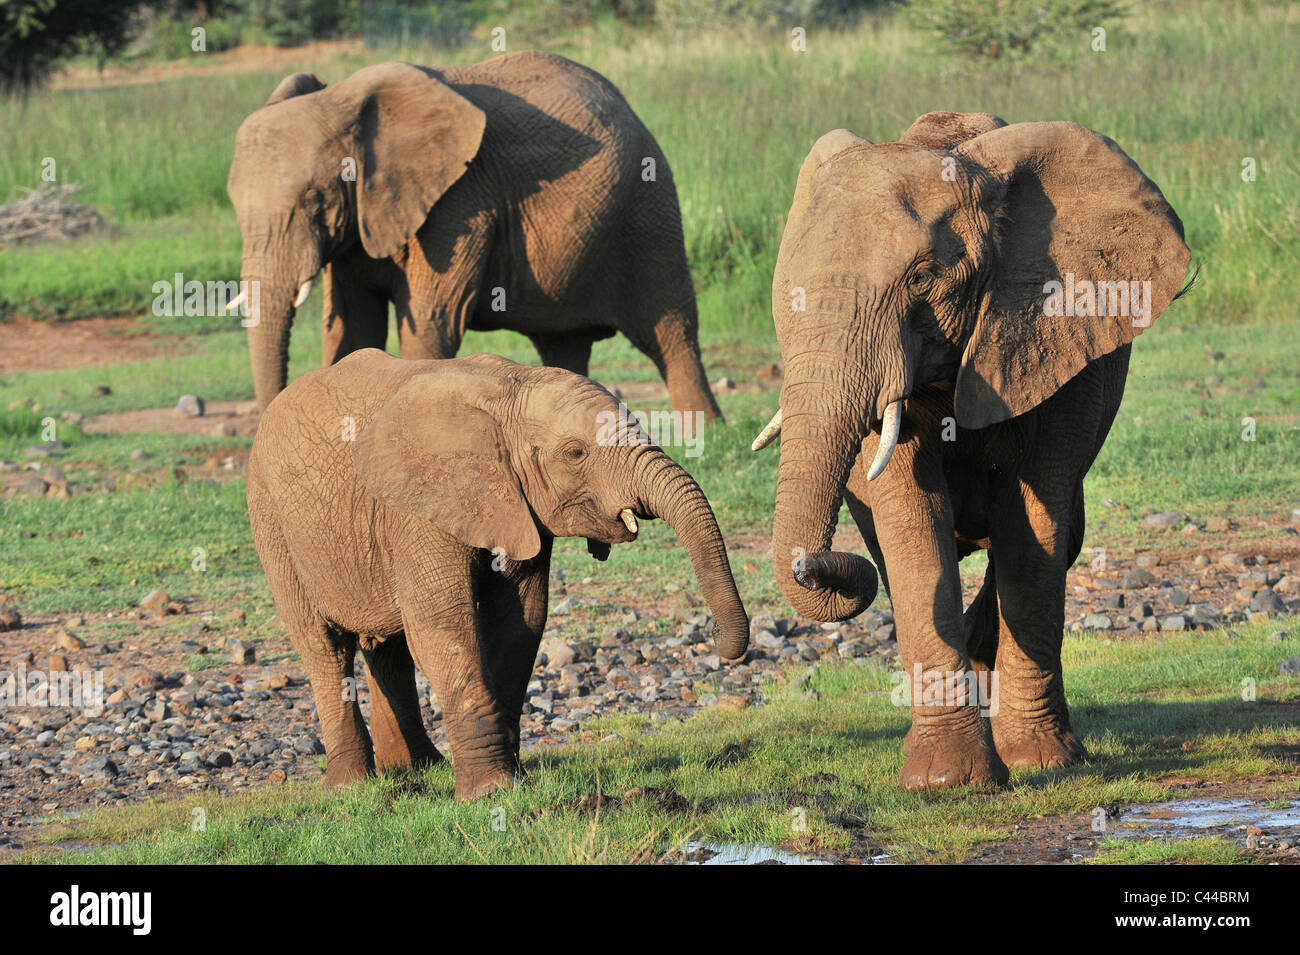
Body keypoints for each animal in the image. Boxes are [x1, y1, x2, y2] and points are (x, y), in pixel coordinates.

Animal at [228, 50, 728, 418]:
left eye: (315, 200)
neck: (344, 101)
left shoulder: (461, 199)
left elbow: (432, 318)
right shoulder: (362, 220)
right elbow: (354, 326)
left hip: (648, 205)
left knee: (671, 327)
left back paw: (705, 429)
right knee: (564, 341)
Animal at [246, 350, 748, 800]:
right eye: (575, 453)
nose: (720, 641)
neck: (511, 389)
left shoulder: (517, 508)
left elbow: (518, 623)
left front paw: (512, 778)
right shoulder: (418, 510)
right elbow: (444, 628)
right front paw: (489, 793)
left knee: (388, 648)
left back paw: (419, 770)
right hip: (271, 520)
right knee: (325, 646)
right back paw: (350, 787)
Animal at [754, 111, 1190, 789]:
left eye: (922, 279)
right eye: (784, 293)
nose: (822, 565)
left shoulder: (1062, 335)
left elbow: (1036, 527)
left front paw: (1040, 761)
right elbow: (910, 525)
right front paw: (948, 780)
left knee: (1061, 533)